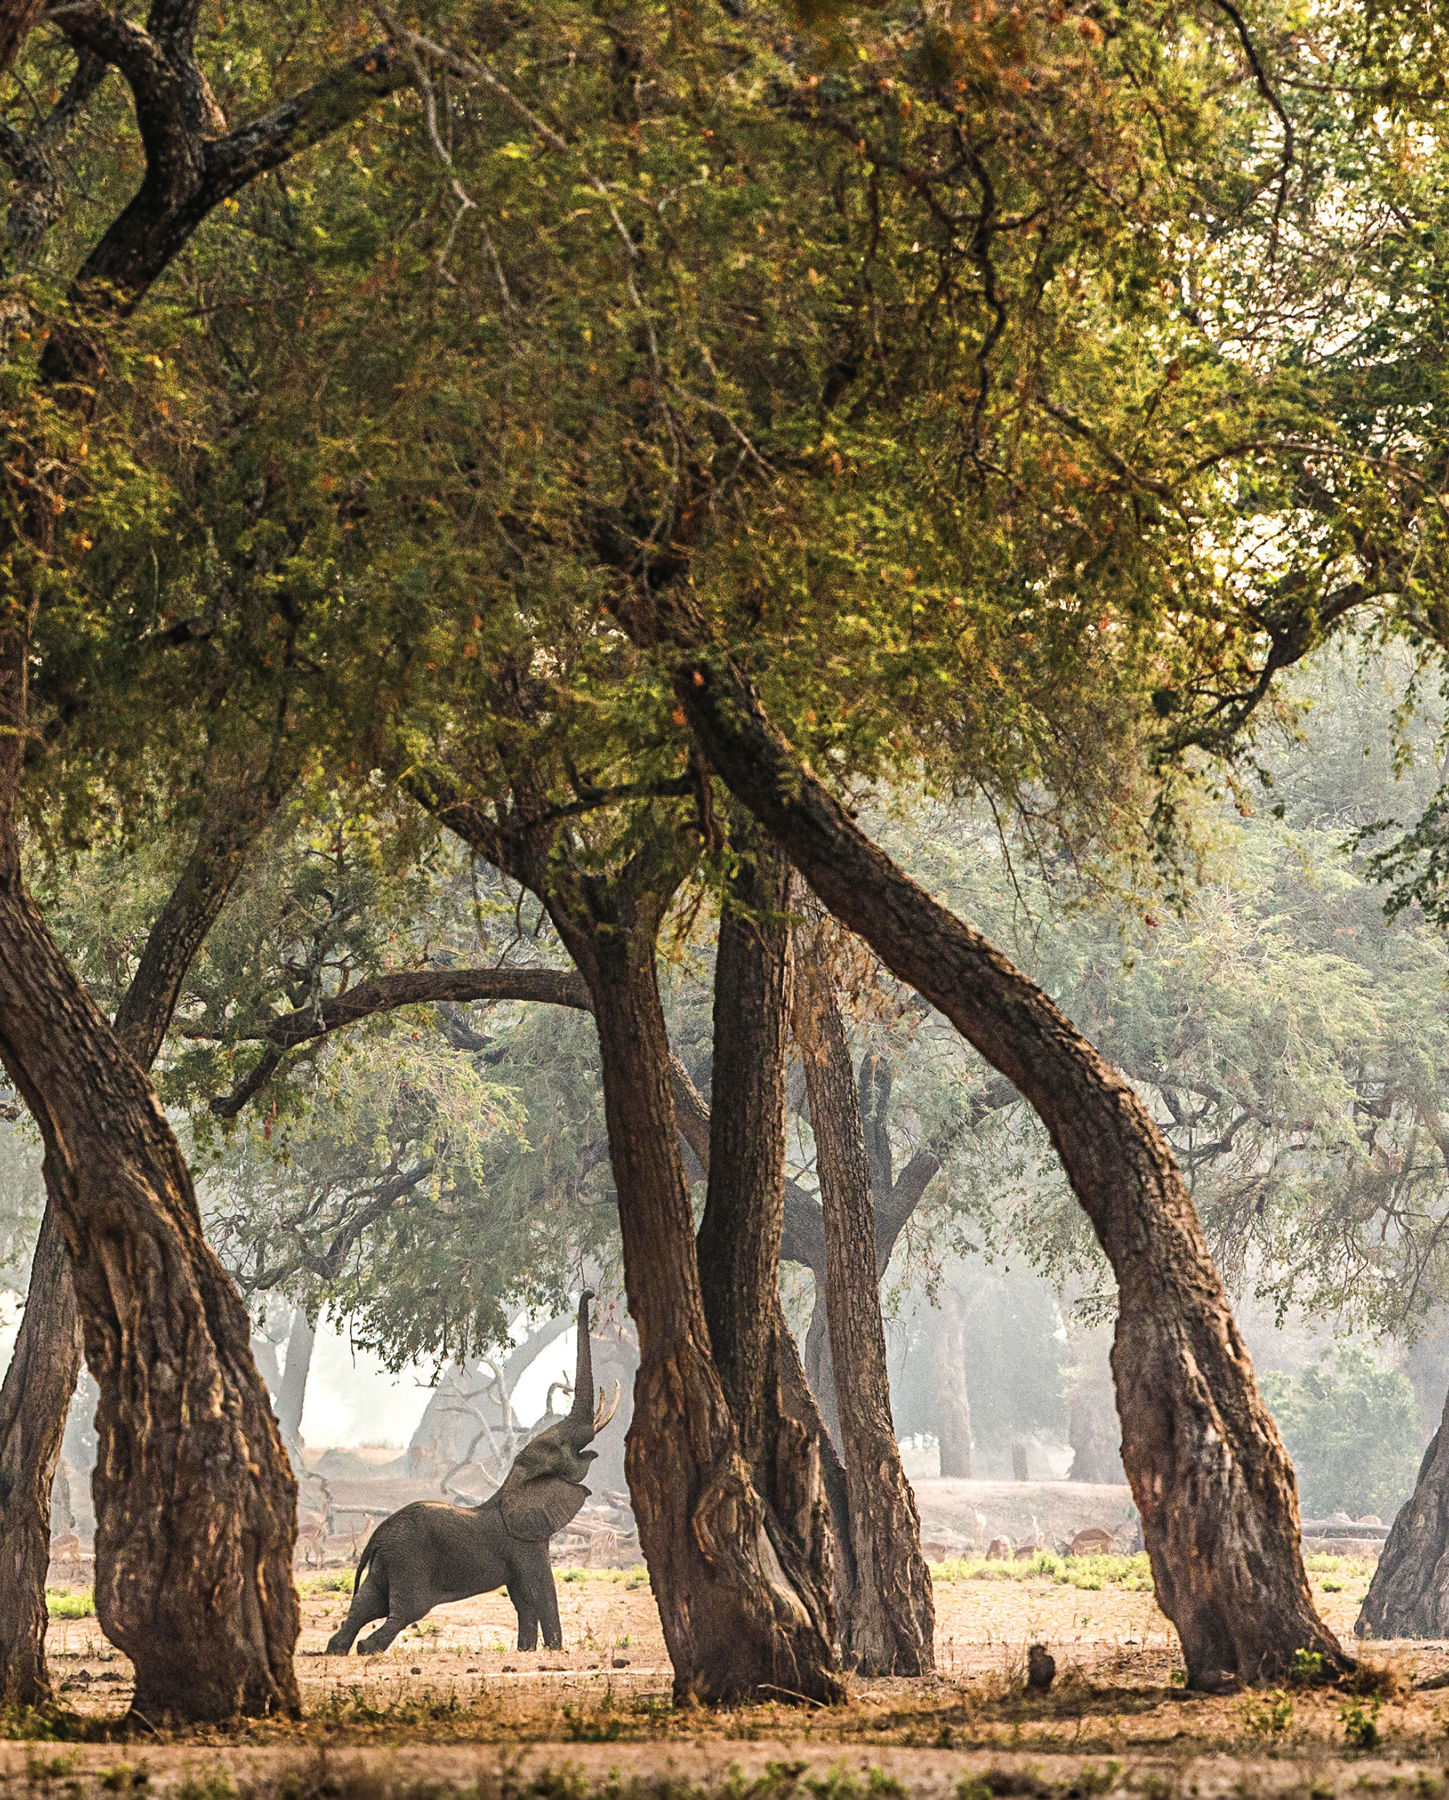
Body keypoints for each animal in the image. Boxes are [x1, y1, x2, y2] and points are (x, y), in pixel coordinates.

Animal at [325, 1296, 619, 1656]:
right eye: (561, 1446)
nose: (589, 1294)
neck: (512, 1481)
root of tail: (377, 1536)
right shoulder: (524, 1543)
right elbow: (541, 1590)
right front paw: (555, 1651)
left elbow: (523, 1599)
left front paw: (526, 1650)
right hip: (409, 1561)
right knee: (404, 1612)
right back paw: (367, 1648)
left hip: (387, 1561)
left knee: (367, 1603)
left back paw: (336, 1648)